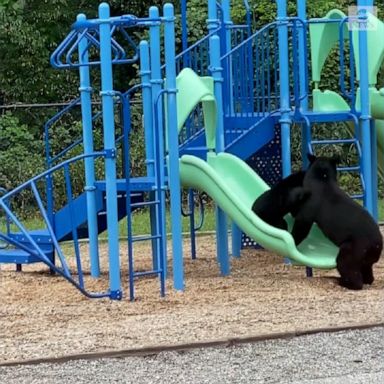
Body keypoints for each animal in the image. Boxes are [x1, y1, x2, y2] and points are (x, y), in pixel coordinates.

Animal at [292, 154, 382, 290]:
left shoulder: (309, 206)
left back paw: (341, 281)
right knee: (367, 272)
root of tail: (377, 244)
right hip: (366, 259)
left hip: (352, 249)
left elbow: (302, 224)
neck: (323, 178)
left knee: (348, 268)